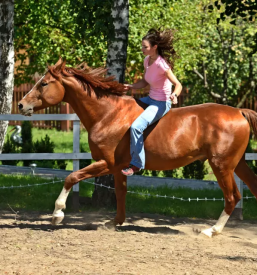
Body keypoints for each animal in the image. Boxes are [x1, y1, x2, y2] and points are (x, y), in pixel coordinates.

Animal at [18, 58, 256, 237]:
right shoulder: (118, 167)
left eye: (44, 83)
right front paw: (114, 222)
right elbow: (121, 192)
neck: (108, 115)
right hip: (238, 164)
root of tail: (239, 111)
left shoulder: (107, 163)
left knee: (232, 197)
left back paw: (211, 230)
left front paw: (57, 214)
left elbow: (72, 177)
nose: (21, 105)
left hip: (222, 166)